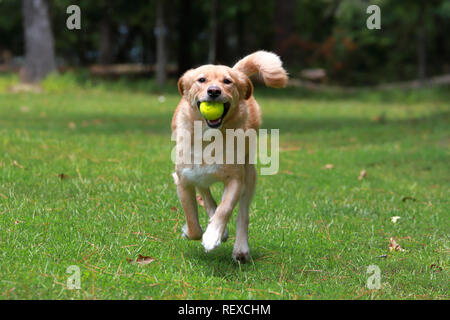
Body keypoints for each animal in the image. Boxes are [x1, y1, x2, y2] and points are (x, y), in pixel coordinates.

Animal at [171, 51, 290, 262]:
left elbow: (225, 209)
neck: (209, 138)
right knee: (205, 194)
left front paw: (212, 235)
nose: (213, 91)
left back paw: (240, 248)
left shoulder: (235, 180)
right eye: (201, 80)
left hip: (249, 175)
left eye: (227, 81)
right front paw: (200, 231)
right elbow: (193, 223)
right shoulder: (183, 180)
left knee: (242, 214)